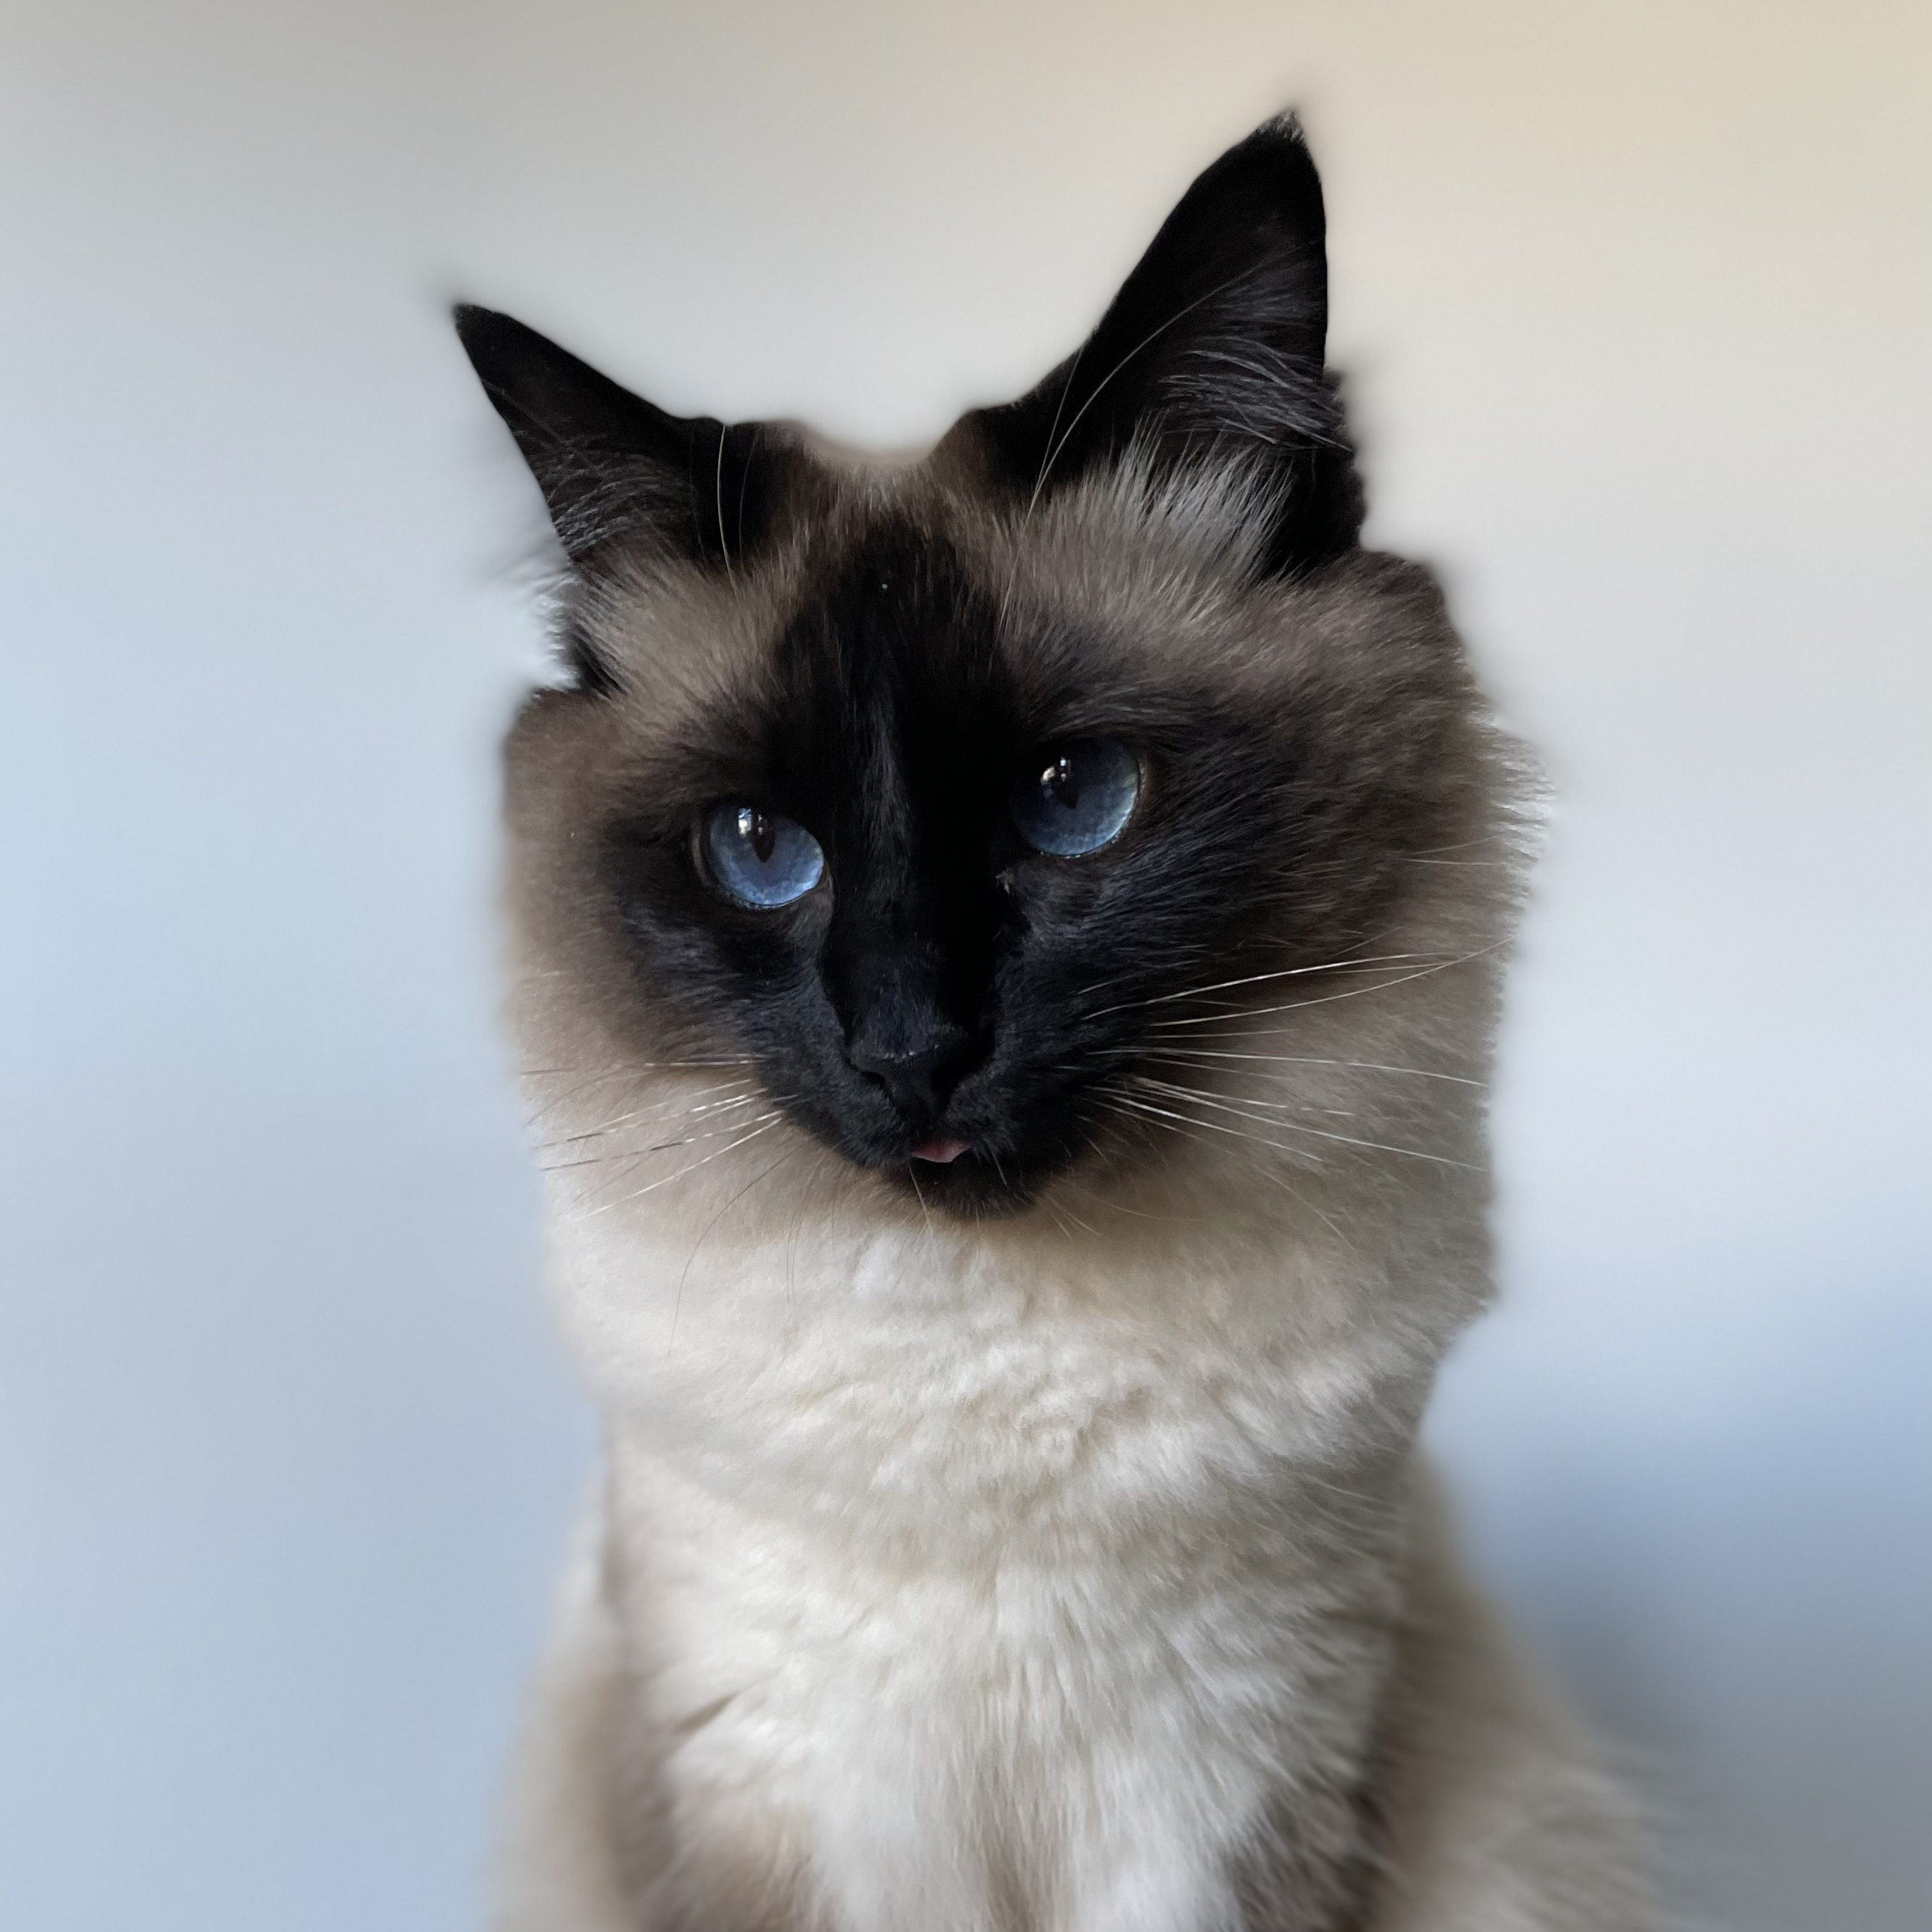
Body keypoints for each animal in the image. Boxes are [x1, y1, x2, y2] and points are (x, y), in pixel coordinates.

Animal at [456, 117, 1661, 1932]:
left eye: (1072, 798)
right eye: (760, 850)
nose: (909, 1048)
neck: (994, 1416)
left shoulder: (1224, 1795)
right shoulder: (779, 1800)